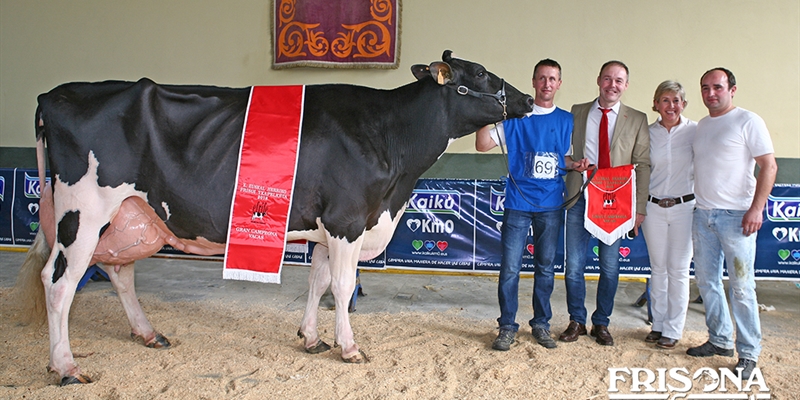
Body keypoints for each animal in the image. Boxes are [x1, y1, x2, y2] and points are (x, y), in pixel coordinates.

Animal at [18, 50, 532, 384]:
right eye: (481, 73)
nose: (528, 99)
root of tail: (54, 94)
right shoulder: (347, 219)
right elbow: (342, 286)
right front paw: (349, 347)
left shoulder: (328, 228)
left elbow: (318, 283)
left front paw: (311, 338)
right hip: (83, 211)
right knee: (59, 281)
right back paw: (65, 367)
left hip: (130, 215)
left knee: (119, 271)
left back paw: (148, 334)